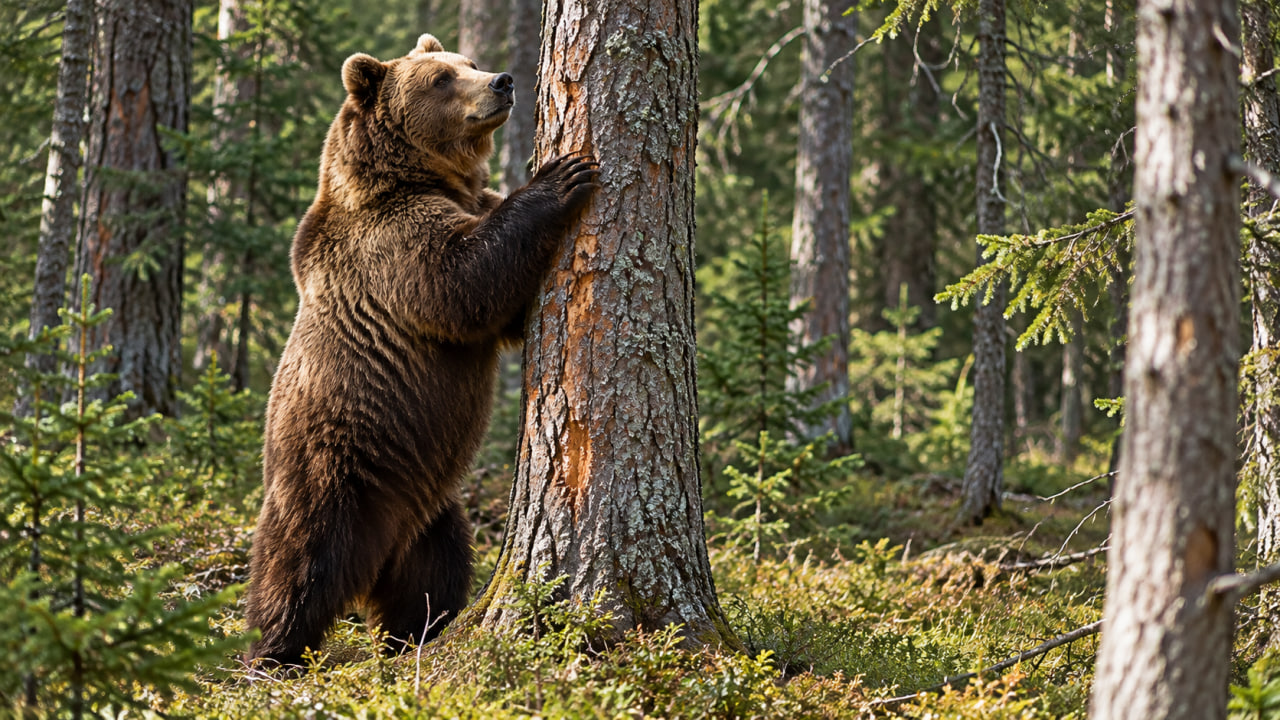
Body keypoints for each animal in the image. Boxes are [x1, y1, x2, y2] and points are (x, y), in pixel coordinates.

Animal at [242, 33, 598, 667]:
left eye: (468, 63)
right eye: (440, 79)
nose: (503, 81)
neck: (419, 178)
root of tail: (380, 552)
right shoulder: (389, 246)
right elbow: (464, 283)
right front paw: (561, 175)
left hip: (430, 507)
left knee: (435, 575)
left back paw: (417, 634)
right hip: (331, 470)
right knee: (297, 564)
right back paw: (272, 652)